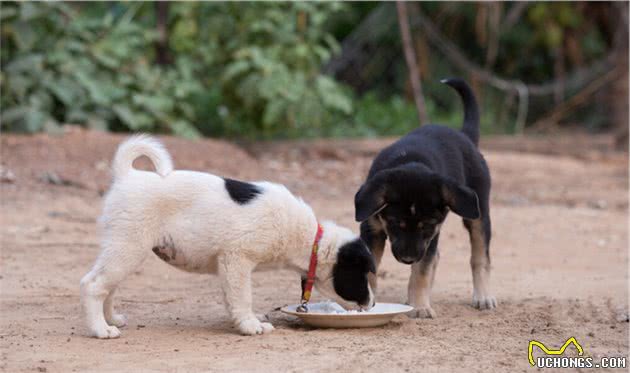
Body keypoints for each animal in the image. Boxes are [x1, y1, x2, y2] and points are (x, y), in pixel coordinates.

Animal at [79, 134, 376, 338]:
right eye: (362, 276)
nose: (372, 303)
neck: (310, 238)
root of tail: (127, 176)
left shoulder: (230, 266)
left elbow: (232, 298)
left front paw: (241, 321)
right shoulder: (237, 259)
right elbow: (242, 297)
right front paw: (251, 325)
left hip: (121, 247)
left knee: (106, 285)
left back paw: (111, 319)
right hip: (128, 247)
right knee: (93, 285)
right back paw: (101, 330)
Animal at [358, 78, 496, 316]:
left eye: (427, 225)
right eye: (395, 224)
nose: (408, 259)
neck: (412, 163)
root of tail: (464, 135)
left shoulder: (431, 236)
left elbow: (421, 272)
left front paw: (421, 307)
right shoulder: (372, 229)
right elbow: (371, 269)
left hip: (479, 215)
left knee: (479, 257)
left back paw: (483, 296)